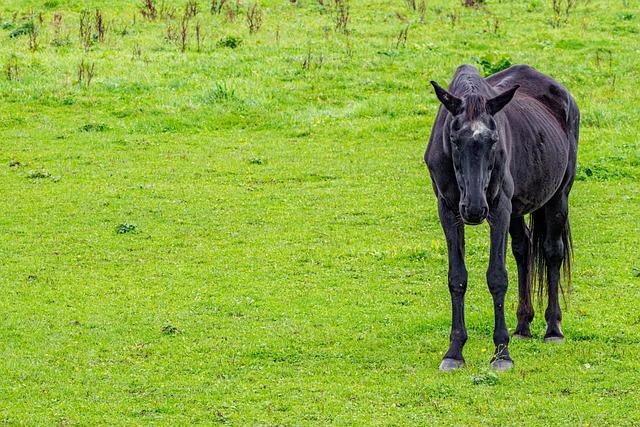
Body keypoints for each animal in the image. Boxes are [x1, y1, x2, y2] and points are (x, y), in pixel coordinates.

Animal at [424, 63, 580, 372]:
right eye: (454, 139)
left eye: (493, 140)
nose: (474, 209)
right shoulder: (448, 210)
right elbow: (457, 277)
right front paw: (454, 351)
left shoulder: (499, 209)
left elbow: (497, 277)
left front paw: (501, 353)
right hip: (517, 210)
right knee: (524, 250)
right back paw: (522, 325)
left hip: (558, 197)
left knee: (552, 252)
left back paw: (553, 329)